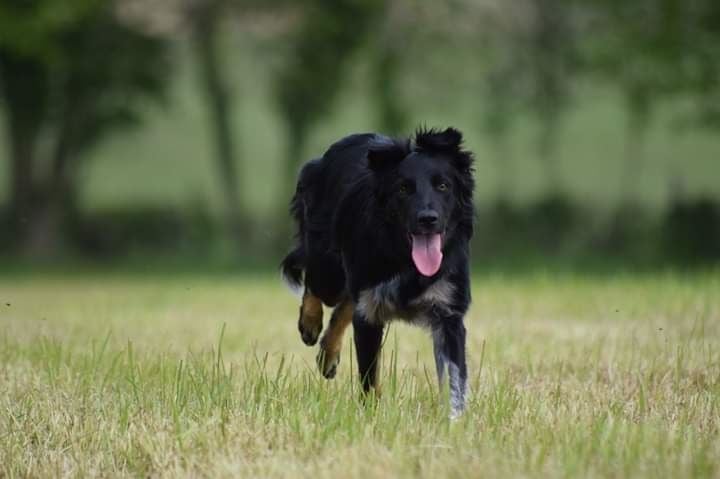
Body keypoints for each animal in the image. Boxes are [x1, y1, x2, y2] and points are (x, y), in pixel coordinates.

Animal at [282, 126, 478, 416]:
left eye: (443, 186)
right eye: (403, 188)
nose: (427, 219)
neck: (405, 259)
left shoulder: (448, 314)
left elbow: (454, 380)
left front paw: (455, 420)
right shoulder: (370, 314)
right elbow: (369, 377)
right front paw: (370, 415)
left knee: (344, 305)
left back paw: (328, 355)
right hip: (329, 267)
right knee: (316, 285)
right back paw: (310, 325)